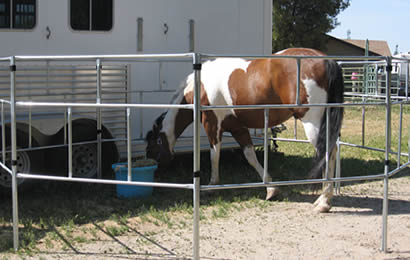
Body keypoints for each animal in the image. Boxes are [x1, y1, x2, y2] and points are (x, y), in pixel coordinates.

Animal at [146, 48, 344, 213]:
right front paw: (270, 189)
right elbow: (250, 156)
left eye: (152, 144)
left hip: (313, 123)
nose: (154, 163)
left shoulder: (212, 124)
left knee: (328, 151)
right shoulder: (238, 128)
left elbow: (214, 155)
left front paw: (212, 185)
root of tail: (327, 60)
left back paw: (323, 202)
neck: (198, 86)